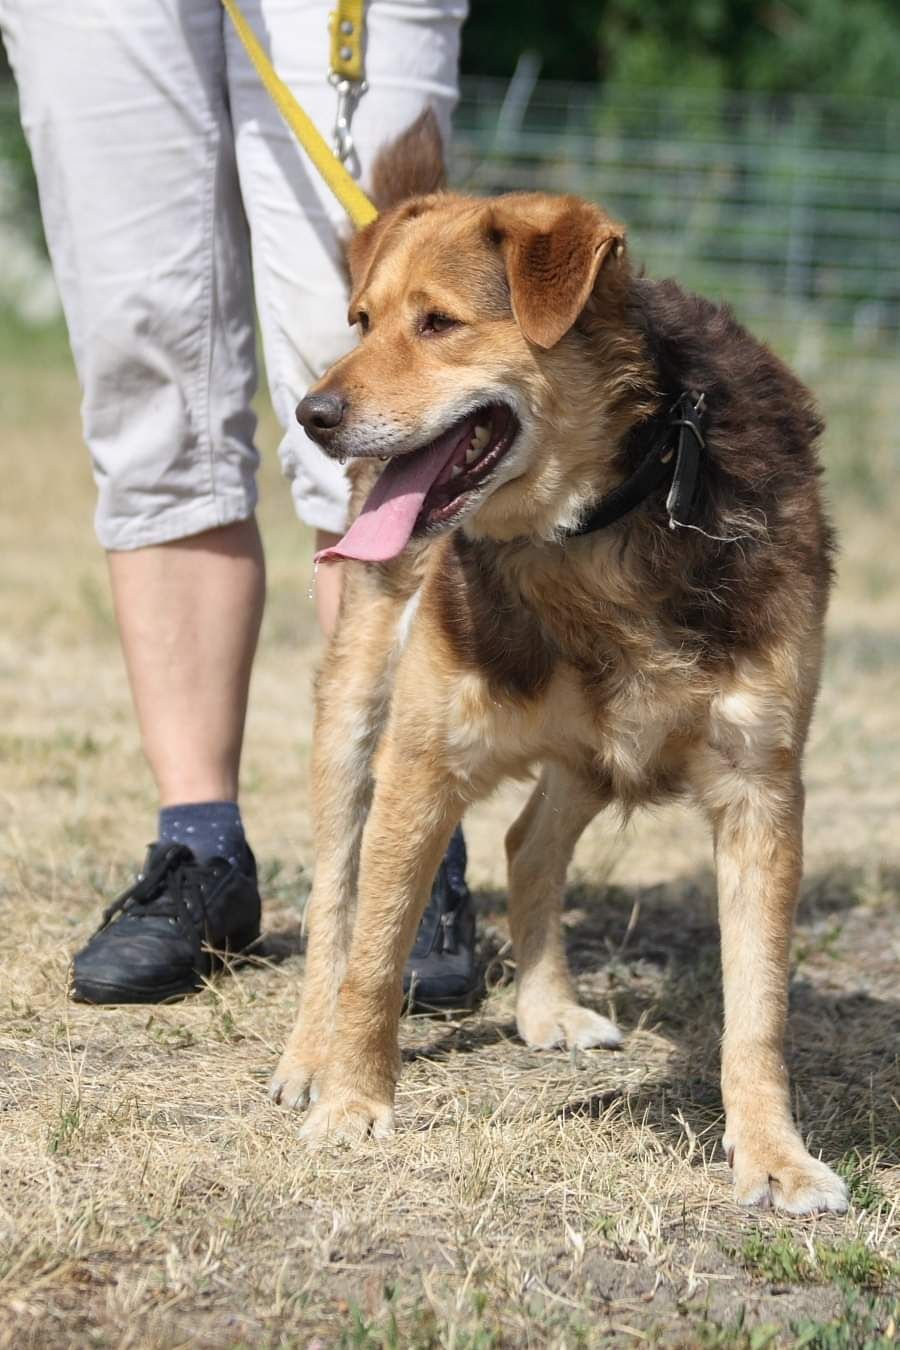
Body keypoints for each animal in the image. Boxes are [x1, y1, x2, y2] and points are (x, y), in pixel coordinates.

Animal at [271, 113, 847, 1215]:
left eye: (438, 324)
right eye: (362, 320)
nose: (311, 415)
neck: (597, 527)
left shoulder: (762, 784)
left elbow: (759, 1009)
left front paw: (774, 1156)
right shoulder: (422, 760)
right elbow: (375, 953)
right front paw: (353, 1105)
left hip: (586, 751)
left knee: (528, 841)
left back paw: (546, 1009)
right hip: (357, 711)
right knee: (334, 901)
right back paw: (309, 1056)